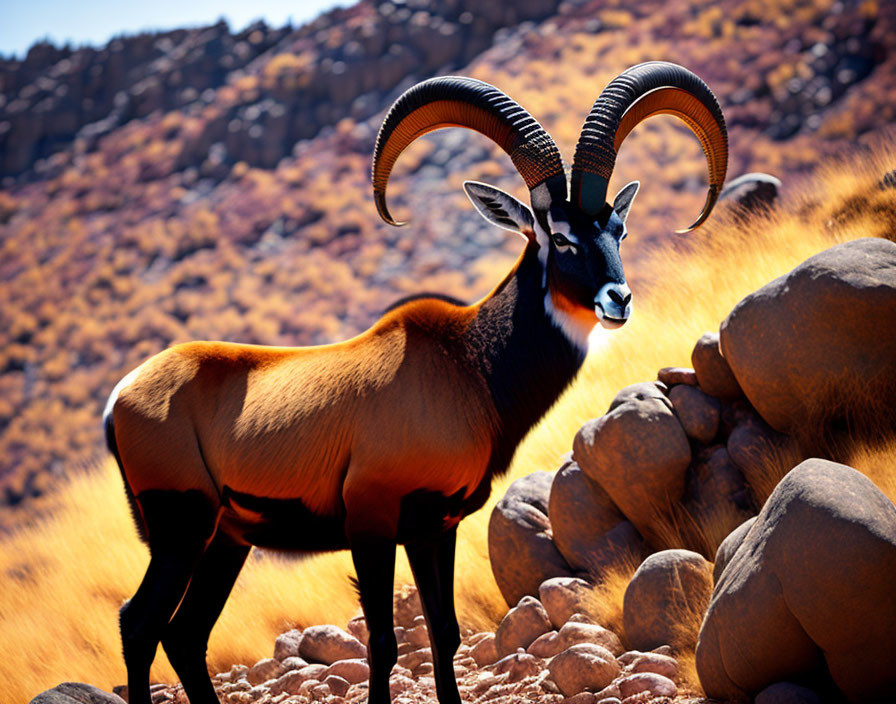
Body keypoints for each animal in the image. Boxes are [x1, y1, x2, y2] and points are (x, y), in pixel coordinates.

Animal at [105, 62, 724, 704]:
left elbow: (444, 632)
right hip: (182, 530)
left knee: (184, 634)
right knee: (140, 622)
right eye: (558, 236)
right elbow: (383, 641)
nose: (617, 300)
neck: (466, 363)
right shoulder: (373, 522)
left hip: (225, 541)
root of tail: (122, 396)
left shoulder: (435, 528)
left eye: (617, 229)